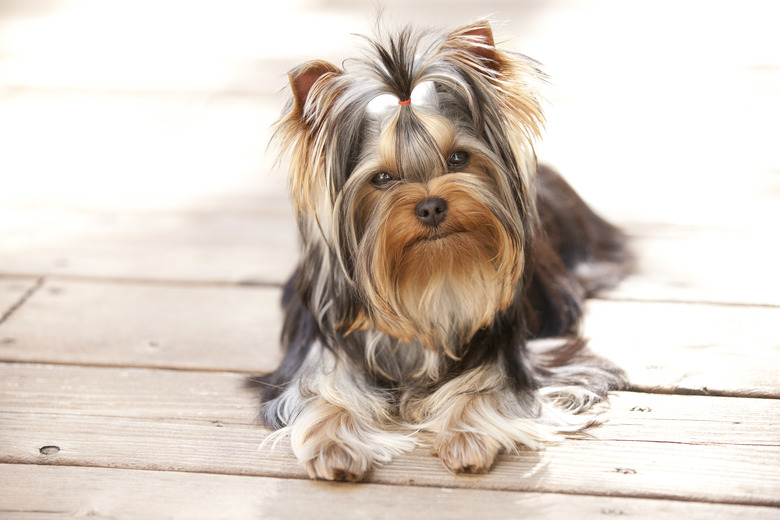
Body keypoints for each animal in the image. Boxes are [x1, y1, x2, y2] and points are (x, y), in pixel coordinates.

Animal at [256, 20, 632, 484]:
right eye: (382, 178)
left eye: (458, 158)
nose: (431, 206)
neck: (432, 275)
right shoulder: (323, 347)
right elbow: (323, 391)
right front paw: (335, 446)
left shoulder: (538, 356)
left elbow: (487, 385)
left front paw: (467, 436)